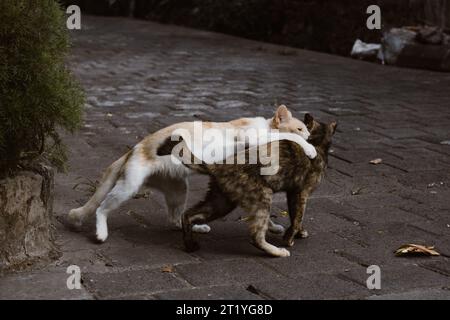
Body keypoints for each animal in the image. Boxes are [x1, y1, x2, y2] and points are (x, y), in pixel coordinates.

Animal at [181, 114, 336, 256]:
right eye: (300, 128)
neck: (317, 141)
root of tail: (217, 165)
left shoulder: (292, 193)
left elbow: (294, 216)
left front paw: (299, 232)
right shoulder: (301, 193)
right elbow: (298, 217)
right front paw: (289, 238)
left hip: (221, 202)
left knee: (188, 215)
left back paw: (190, 245)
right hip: (262, 198)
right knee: (256, 237)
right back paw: (278, 251)